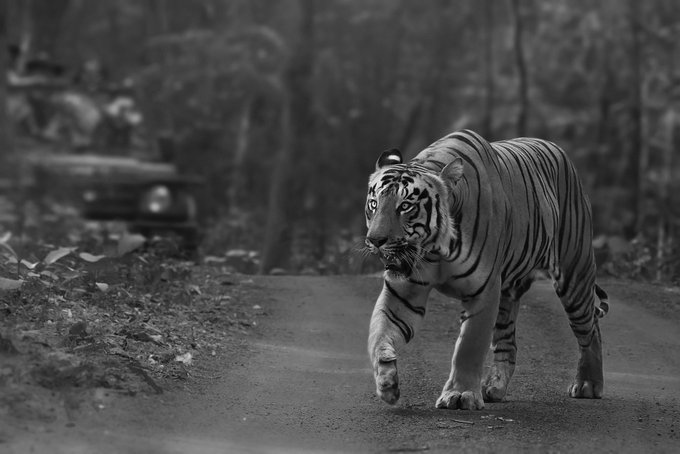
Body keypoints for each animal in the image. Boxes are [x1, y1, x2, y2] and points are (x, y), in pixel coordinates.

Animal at [364, 129, 609, 410]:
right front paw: (386, 381)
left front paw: (460, 394)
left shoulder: (484, 291)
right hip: (508, 295)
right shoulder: (403, 293)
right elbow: (380, 333)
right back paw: (494, 387)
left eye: (405, 206)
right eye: (374, 204)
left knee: (590, 329)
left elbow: (469, 344)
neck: (435, 250)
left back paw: (588, 384)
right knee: (508, 343)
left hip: (574, 276)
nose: (375, 240)